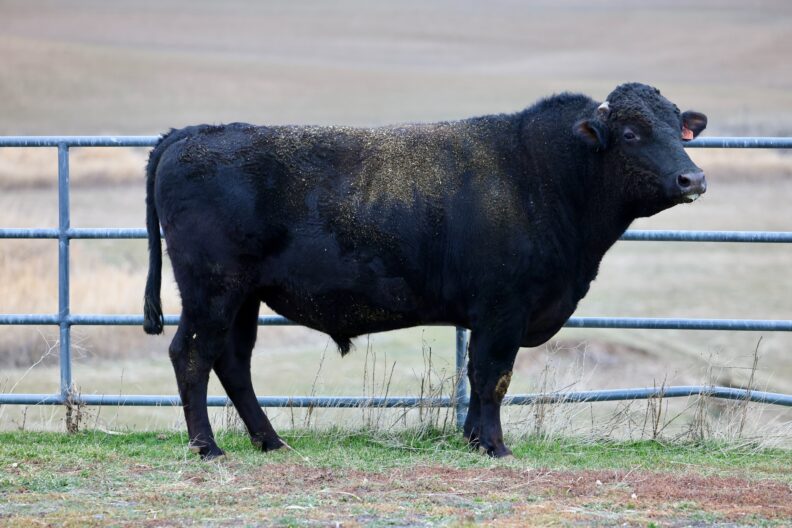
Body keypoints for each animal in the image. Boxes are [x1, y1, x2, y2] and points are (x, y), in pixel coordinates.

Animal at [143, 82, 707, 459]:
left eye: (679, 131)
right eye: (631, 133)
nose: (693, 178)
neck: (542, 172)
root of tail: (191, 134)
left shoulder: (493, 315)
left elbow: (480, 377)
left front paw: (475, 438)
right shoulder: (504, 309)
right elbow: (492, 375)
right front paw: (495, 446)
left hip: (244, 299)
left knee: (233, 363)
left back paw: (270, 440)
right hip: (212, 291)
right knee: (190, 355)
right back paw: (207, 447)